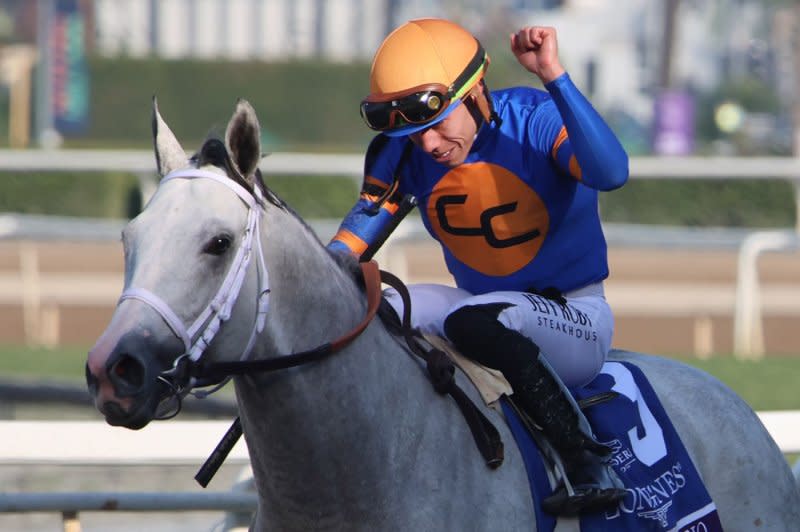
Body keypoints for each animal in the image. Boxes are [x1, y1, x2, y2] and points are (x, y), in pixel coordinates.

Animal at [84, 98, 796, 528]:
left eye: (218, 243)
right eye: (128, 237)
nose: (112, 370)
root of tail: (738, 407)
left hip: (579, 326)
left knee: (481, 321)